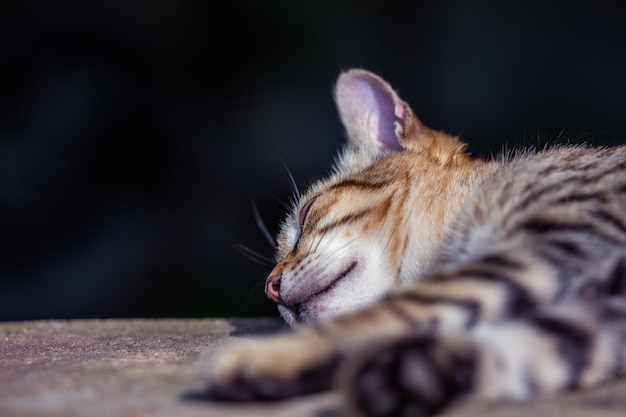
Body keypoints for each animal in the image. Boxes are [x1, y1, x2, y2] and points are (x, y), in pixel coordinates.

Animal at [206, 69, 624, 416]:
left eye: (306, 212)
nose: (270, 288)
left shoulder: (564, 241)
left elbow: (393, 310)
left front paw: (269, 358)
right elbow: (534, 348)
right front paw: (407, 375)